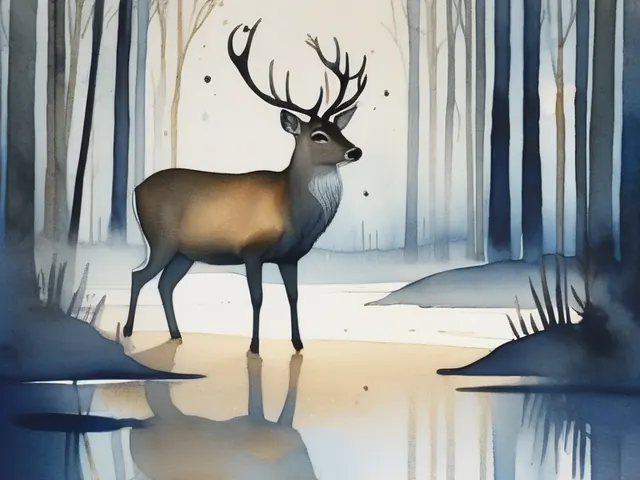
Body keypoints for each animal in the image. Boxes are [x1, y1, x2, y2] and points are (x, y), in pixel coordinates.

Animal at [122, 18, 368, 355]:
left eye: (338, 129)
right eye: (319, 135)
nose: (355, 151)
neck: (290, 211)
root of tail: (135, 190)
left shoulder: (290, 257)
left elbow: (293, 296)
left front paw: (298, 343)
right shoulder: (252, 249)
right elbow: (257, 297)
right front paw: (254, 347)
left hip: (185, 252)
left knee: (164, 284)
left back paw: (176, 334)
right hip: (161, 240)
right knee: (138, 276)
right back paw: (128, 330)